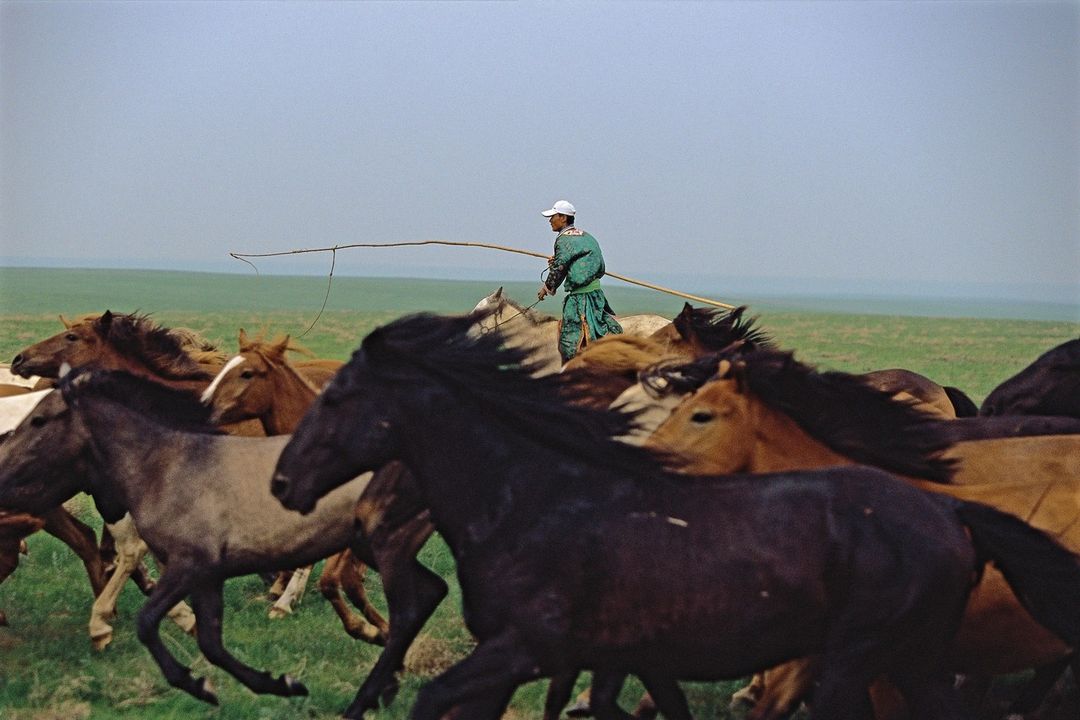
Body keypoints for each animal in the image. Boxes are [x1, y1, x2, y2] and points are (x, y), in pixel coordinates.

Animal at [0, 368, 386, 705]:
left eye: (39, 420)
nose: (3, 467)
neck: (169, 464)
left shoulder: (190, 562)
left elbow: (148, 613)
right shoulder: (203, 573)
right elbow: (208, 640)